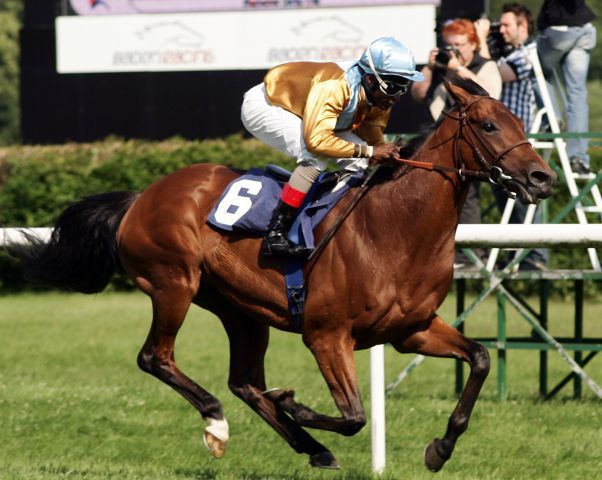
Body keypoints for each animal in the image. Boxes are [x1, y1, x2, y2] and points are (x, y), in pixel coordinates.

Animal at [15, 79, 552, 472]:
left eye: (519, 120)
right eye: (489, 125)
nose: (541, 178)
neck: (394, 228)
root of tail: (141, 197)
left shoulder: (411, 330)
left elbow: (480, 358)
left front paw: (440, 449)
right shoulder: (326, 335)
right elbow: (354, 416)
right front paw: (295, 403)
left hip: (240, 308)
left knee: (245, 382)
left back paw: (311, 446)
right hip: (174, 284)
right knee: (156, 358)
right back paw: (218, 424)